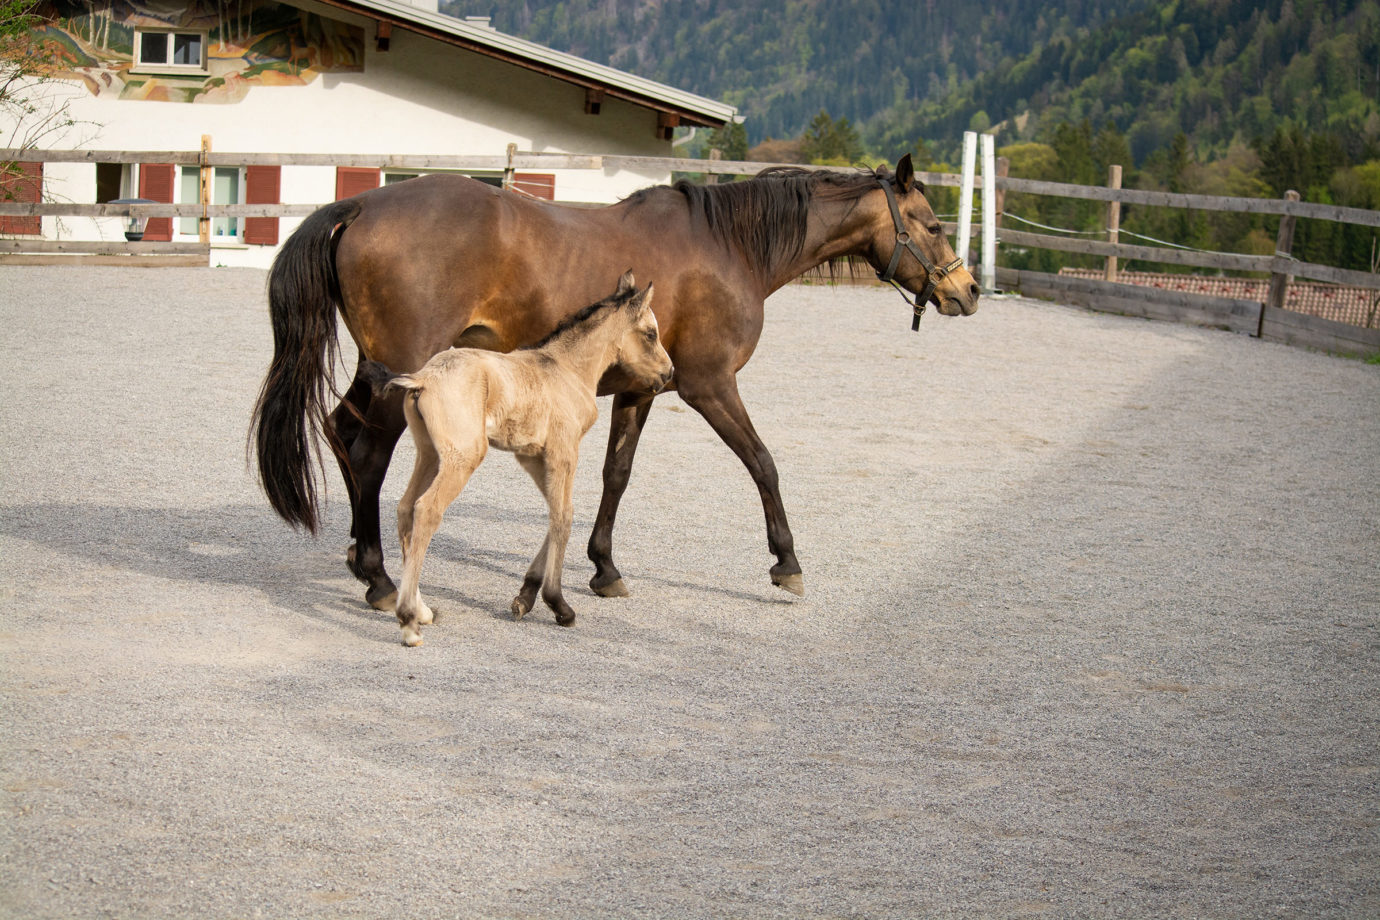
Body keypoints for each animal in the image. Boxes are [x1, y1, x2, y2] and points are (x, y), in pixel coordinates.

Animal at [380, 275, 676, 648]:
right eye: (650, 333)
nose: (669, 372)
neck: (567, 370)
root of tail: (424, 377)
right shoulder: (564, 451)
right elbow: (563, 517)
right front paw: (559, 605)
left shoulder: (532, 456)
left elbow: (557, 510)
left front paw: (526, 597)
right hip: (462, 457)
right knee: (427, 510)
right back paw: (408, 621)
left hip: (429, 454)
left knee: (406, 508)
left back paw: (421, 610)